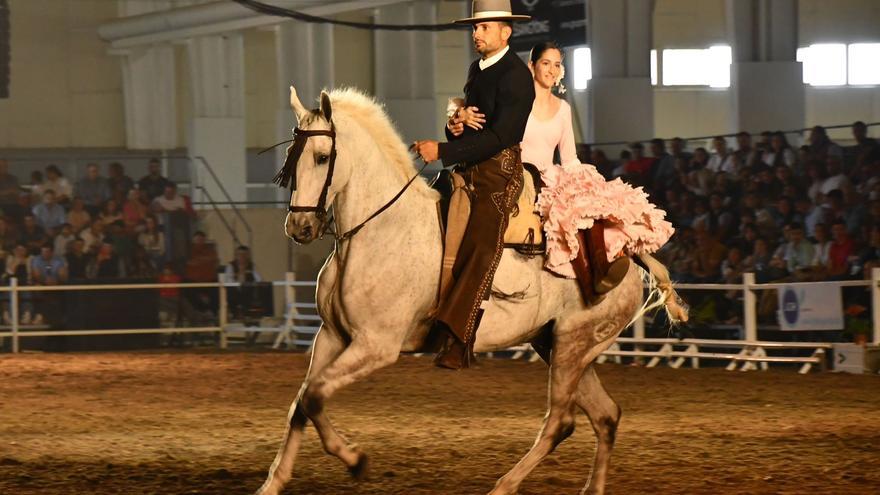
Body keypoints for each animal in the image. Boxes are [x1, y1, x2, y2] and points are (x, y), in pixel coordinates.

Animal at [257, 86, 686, 495]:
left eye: (322, 157)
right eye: (292, 157)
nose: (300, 227)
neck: (379, 228)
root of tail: (627, 253)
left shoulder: (374, 346)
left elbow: (314, 397)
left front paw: (356, 460)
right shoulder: (331, 337)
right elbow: (302, 401)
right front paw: (273, 483)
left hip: (572, 347)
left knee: (560, 422)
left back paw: (503, 485)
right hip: (559, 347)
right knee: (605, 415)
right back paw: (590, 487)